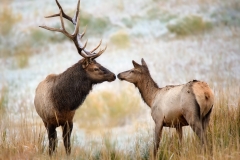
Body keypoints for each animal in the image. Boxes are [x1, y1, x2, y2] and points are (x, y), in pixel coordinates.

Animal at [34, 0, 116, 155]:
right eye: (95, 68)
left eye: (99, 64)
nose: (113, 75)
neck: (62, 103)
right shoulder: (50, 122)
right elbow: (52, 147)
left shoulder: (69, 120)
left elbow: (68, 146)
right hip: (44, 121)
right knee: (52, 143)